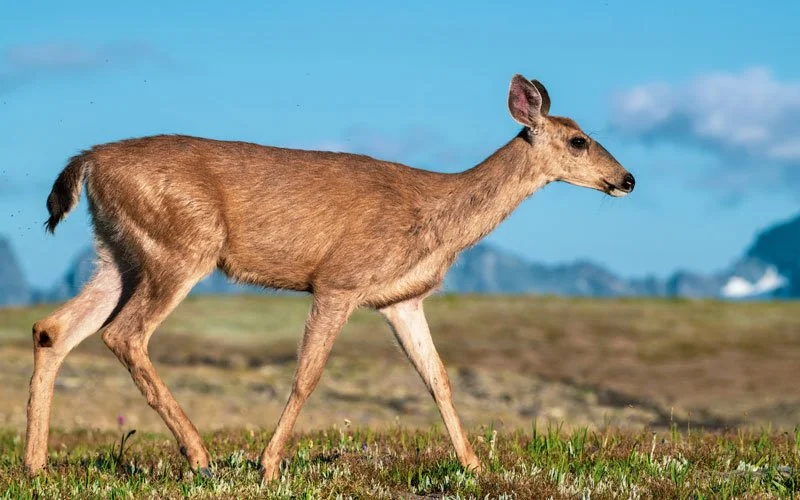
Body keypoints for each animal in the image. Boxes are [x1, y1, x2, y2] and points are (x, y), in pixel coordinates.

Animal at [24, 74, 635, 481]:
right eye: (578, 140)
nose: (627, 179)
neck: (437, 217)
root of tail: (88, 161)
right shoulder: (339, 281)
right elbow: (307, 376)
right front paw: (269, 466)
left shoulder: (401, 300)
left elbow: (437, 378)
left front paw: (474, 465)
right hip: (181, 246)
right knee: (124, 334)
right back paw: (199, 457)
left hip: (119, 253)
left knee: (53, 329)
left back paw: (35, 464)